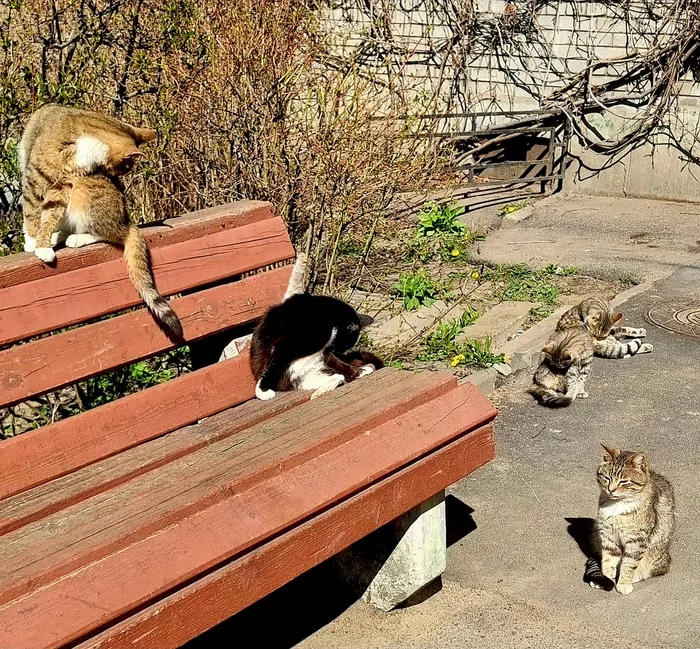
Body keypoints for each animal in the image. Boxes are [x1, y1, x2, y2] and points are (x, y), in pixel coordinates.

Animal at [250, 252, 382, 398]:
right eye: (343, 345)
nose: (337, 351)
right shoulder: (289, 344)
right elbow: (274, 365)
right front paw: (262, 390)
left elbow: (338, 363)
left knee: (337, 375)